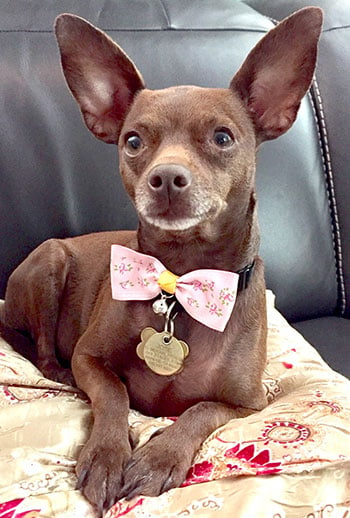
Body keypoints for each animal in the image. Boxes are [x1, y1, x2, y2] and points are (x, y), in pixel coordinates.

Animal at [0, 7, 322, 516]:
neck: (179, 280)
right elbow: (113, 393)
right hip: (49, 263)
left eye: (223, 137)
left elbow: (199, 410)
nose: (166, 177)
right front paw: (108, 455)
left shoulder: (249, 404)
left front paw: (158, 458)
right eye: (133, 142)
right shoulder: (91, 359)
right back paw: (59, 373)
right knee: (46, 352)